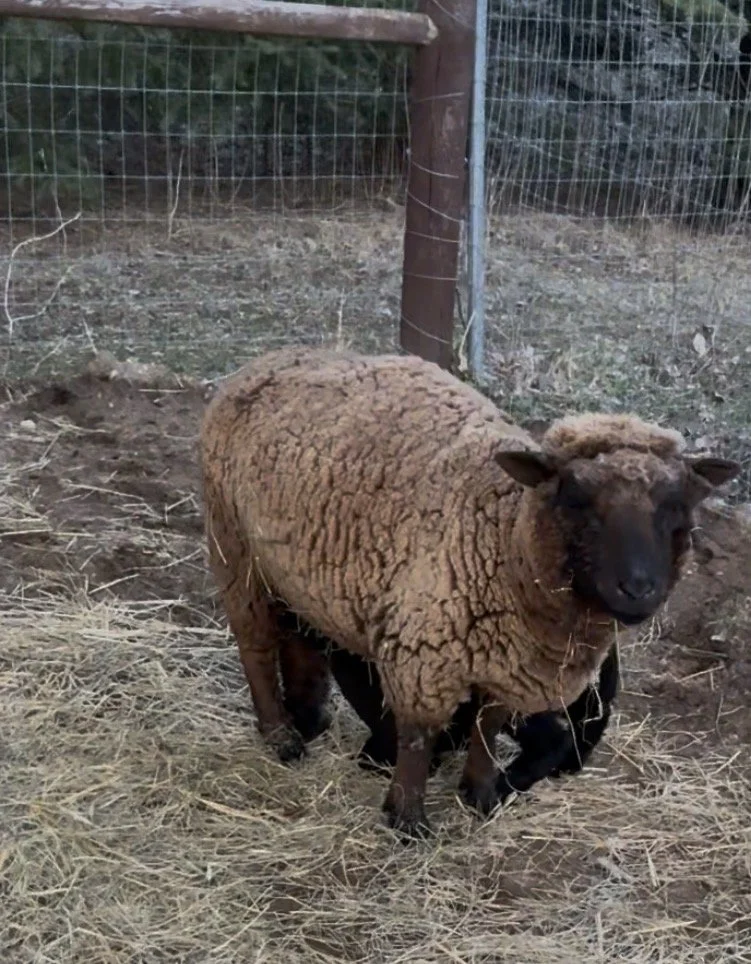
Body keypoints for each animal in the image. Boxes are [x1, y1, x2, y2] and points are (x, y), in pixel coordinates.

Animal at [200, 347, 740, 838]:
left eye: (675, 506)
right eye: (575, 498)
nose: (639, 589)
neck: (503, 537)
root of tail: (272, 357)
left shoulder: (507, 659)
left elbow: (488, 723)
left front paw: (479, 794)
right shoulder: (425, 649)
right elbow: (419, 737)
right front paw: (407, 817)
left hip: (287, 571)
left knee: (297, 632)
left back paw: (309, 717)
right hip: (234, 546)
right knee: (255, 642)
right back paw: (281, 735)